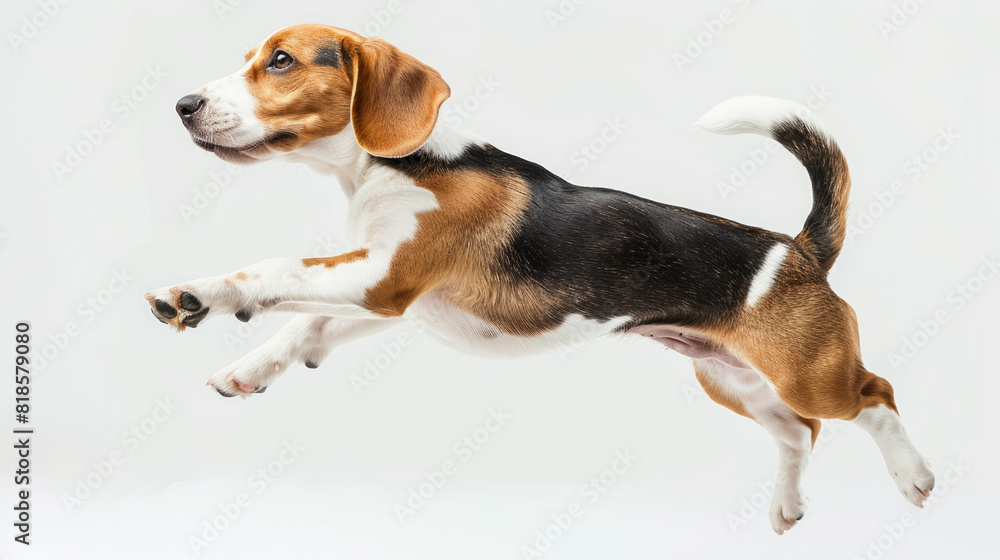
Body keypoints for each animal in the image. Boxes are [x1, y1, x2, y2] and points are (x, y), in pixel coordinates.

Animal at [145, 25, 932, 532]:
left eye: (280, 61)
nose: (181, 106)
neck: (393, 164)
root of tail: (799, 250)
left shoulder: (382, 280)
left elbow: (277, 268)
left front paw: (200, 295)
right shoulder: (391, 295)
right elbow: (307, 322)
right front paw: (252, 367)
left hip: (810, 374)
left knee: (876, 396)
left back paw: (914, 476)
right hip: (729, 378)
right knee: (800, 434)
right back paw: (787, 507)